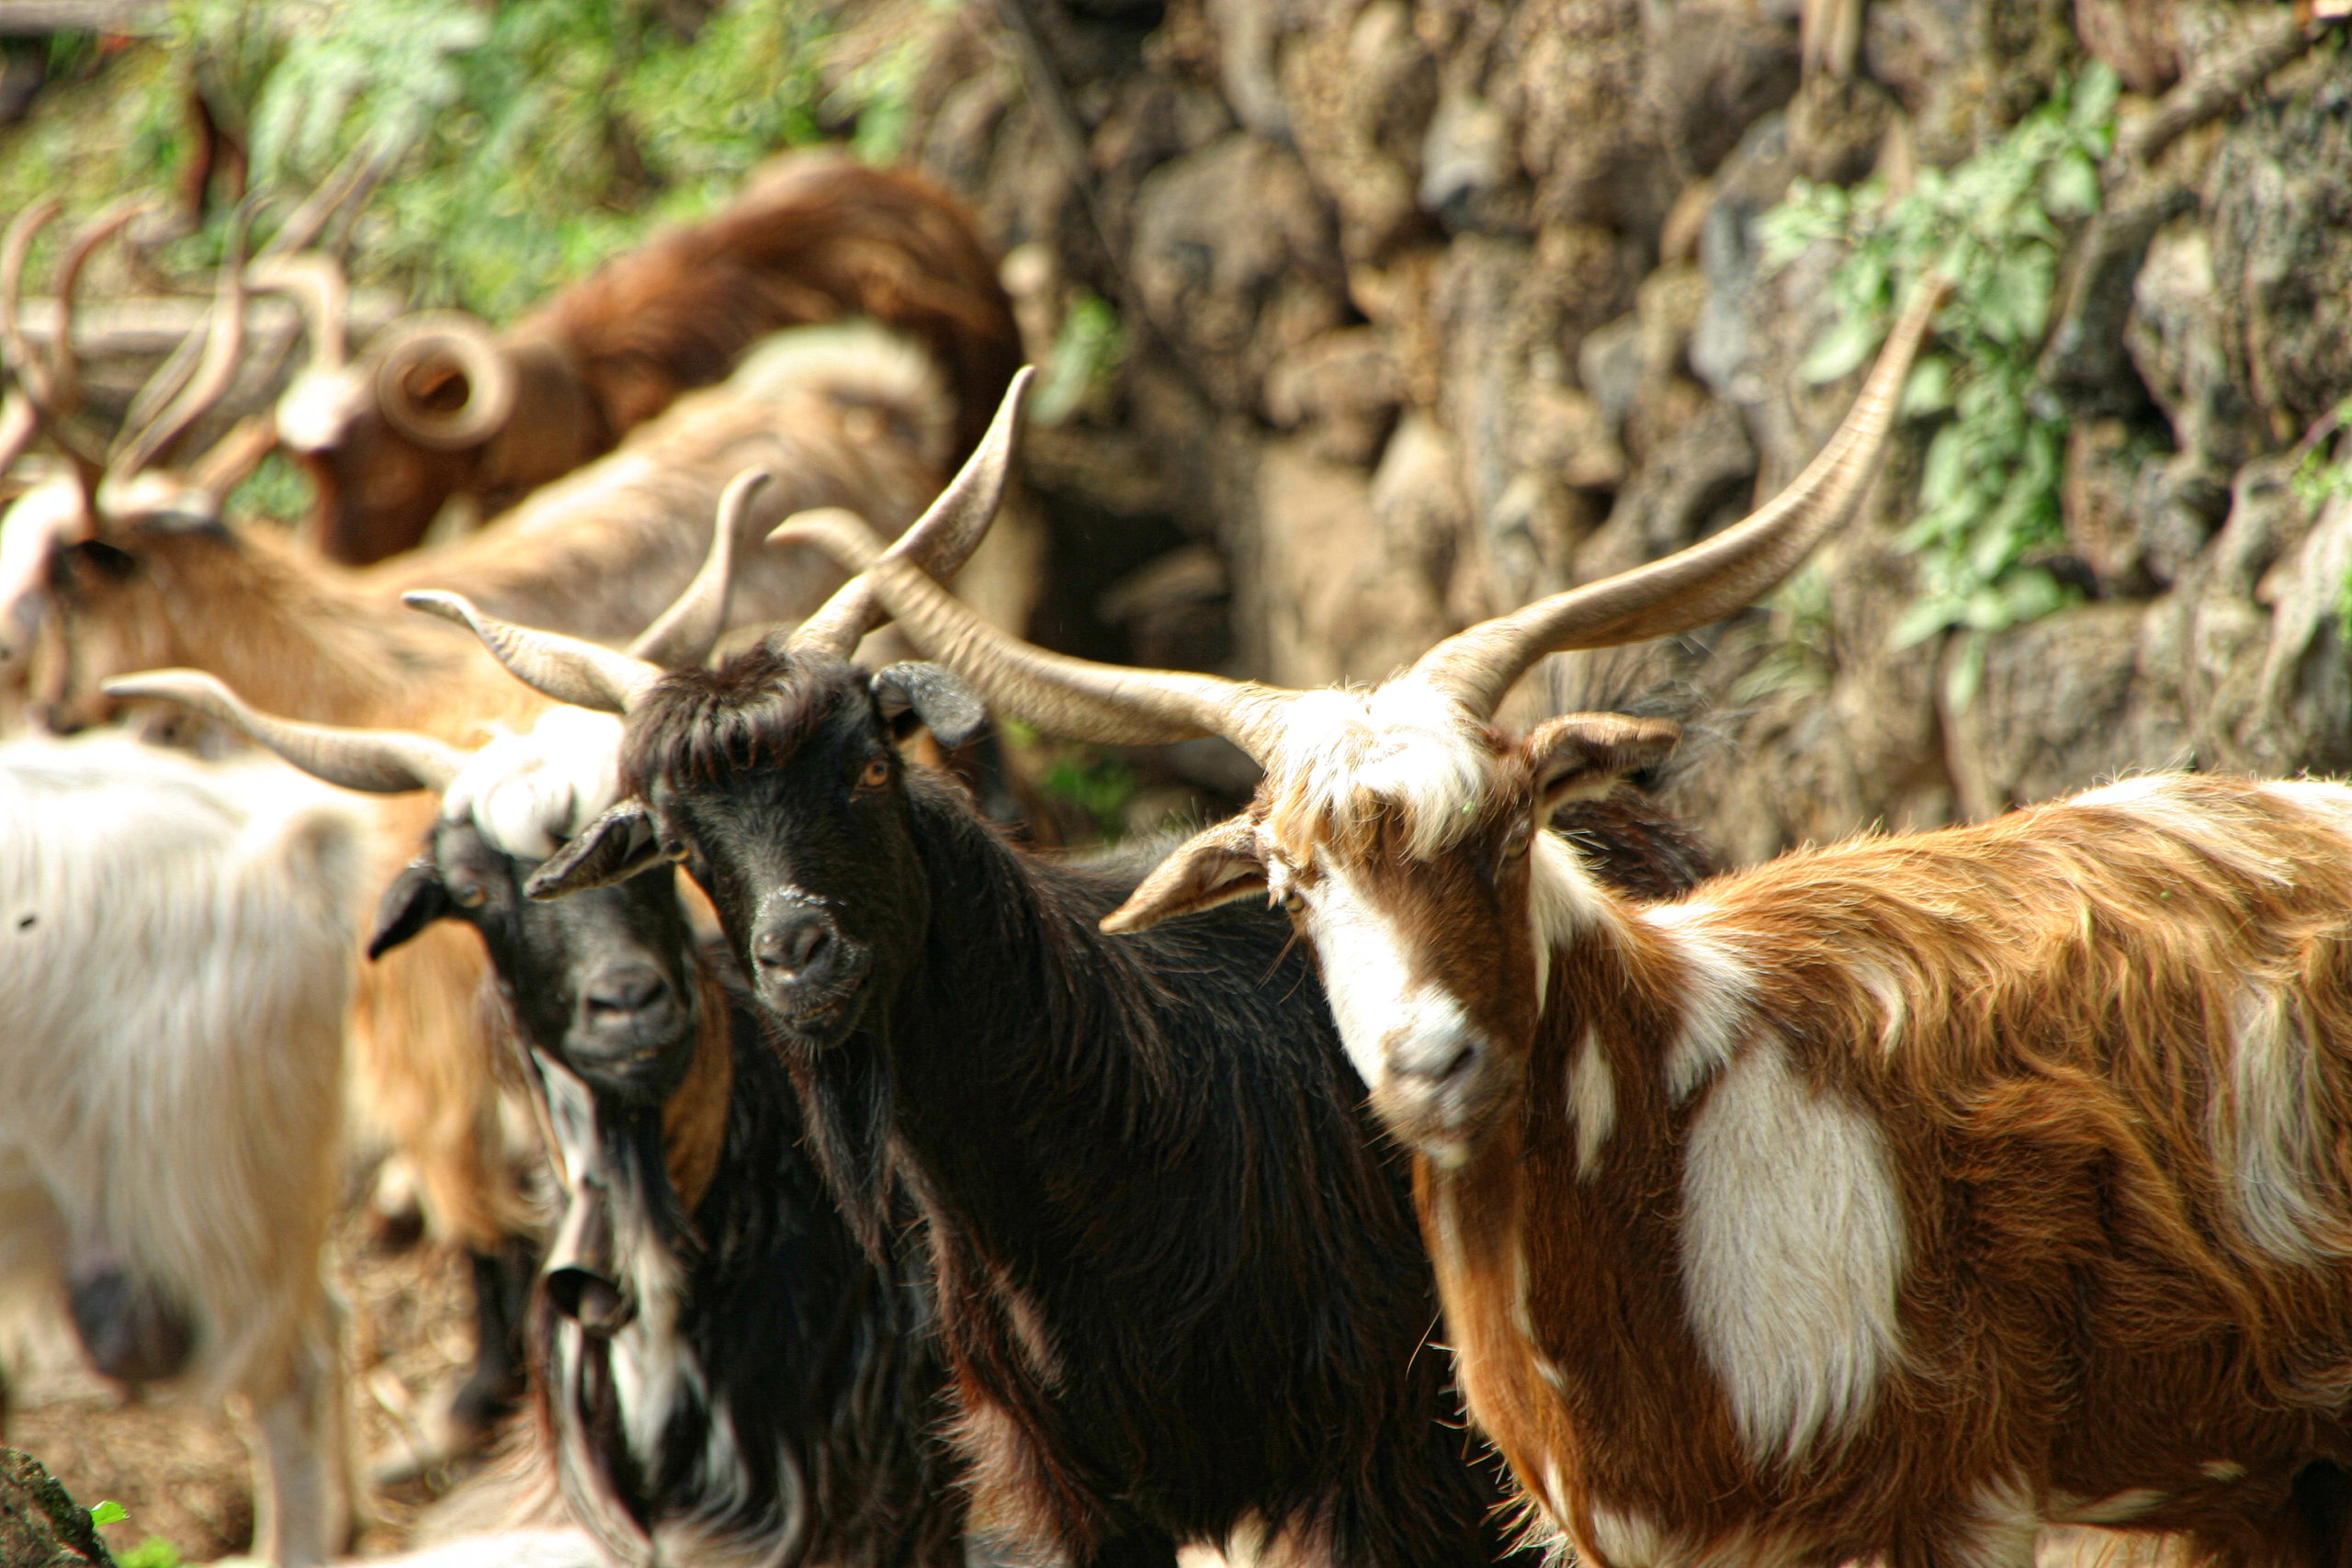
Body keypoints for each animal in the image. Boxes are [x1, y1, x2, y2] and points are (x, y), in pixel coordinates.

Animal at [422, 390, 1718, 1568]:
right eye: (683, 843)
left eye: (867, 766)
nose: (798, 957)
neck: (1126, 1134)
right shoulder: (1066, 1490)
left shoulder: (1398, 1457)